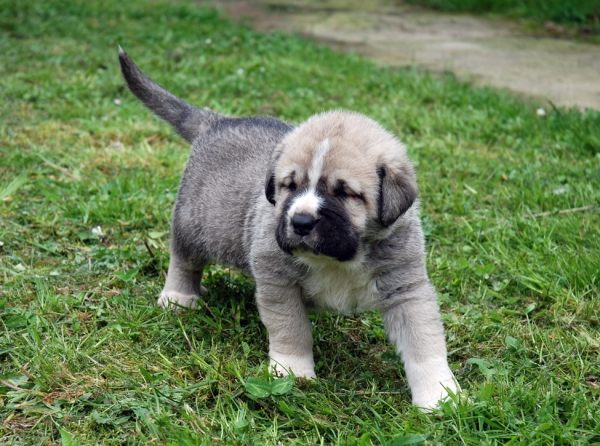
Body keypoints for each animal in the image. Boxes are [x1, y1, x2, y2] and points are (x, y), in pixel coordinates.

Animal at [117, 48, 458, 408]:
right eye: (289, 186)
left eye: (345, 193)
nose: (301, 221)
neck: (338, 259)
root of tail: (218, 121)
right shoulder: (277, 281)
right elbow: (291, 330)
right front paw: (292, 371)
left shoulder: (406, 287)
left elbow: (425, 343)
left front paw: (440, 394)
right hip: (193, 223)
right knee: (184, 260)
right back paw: (179, 297)